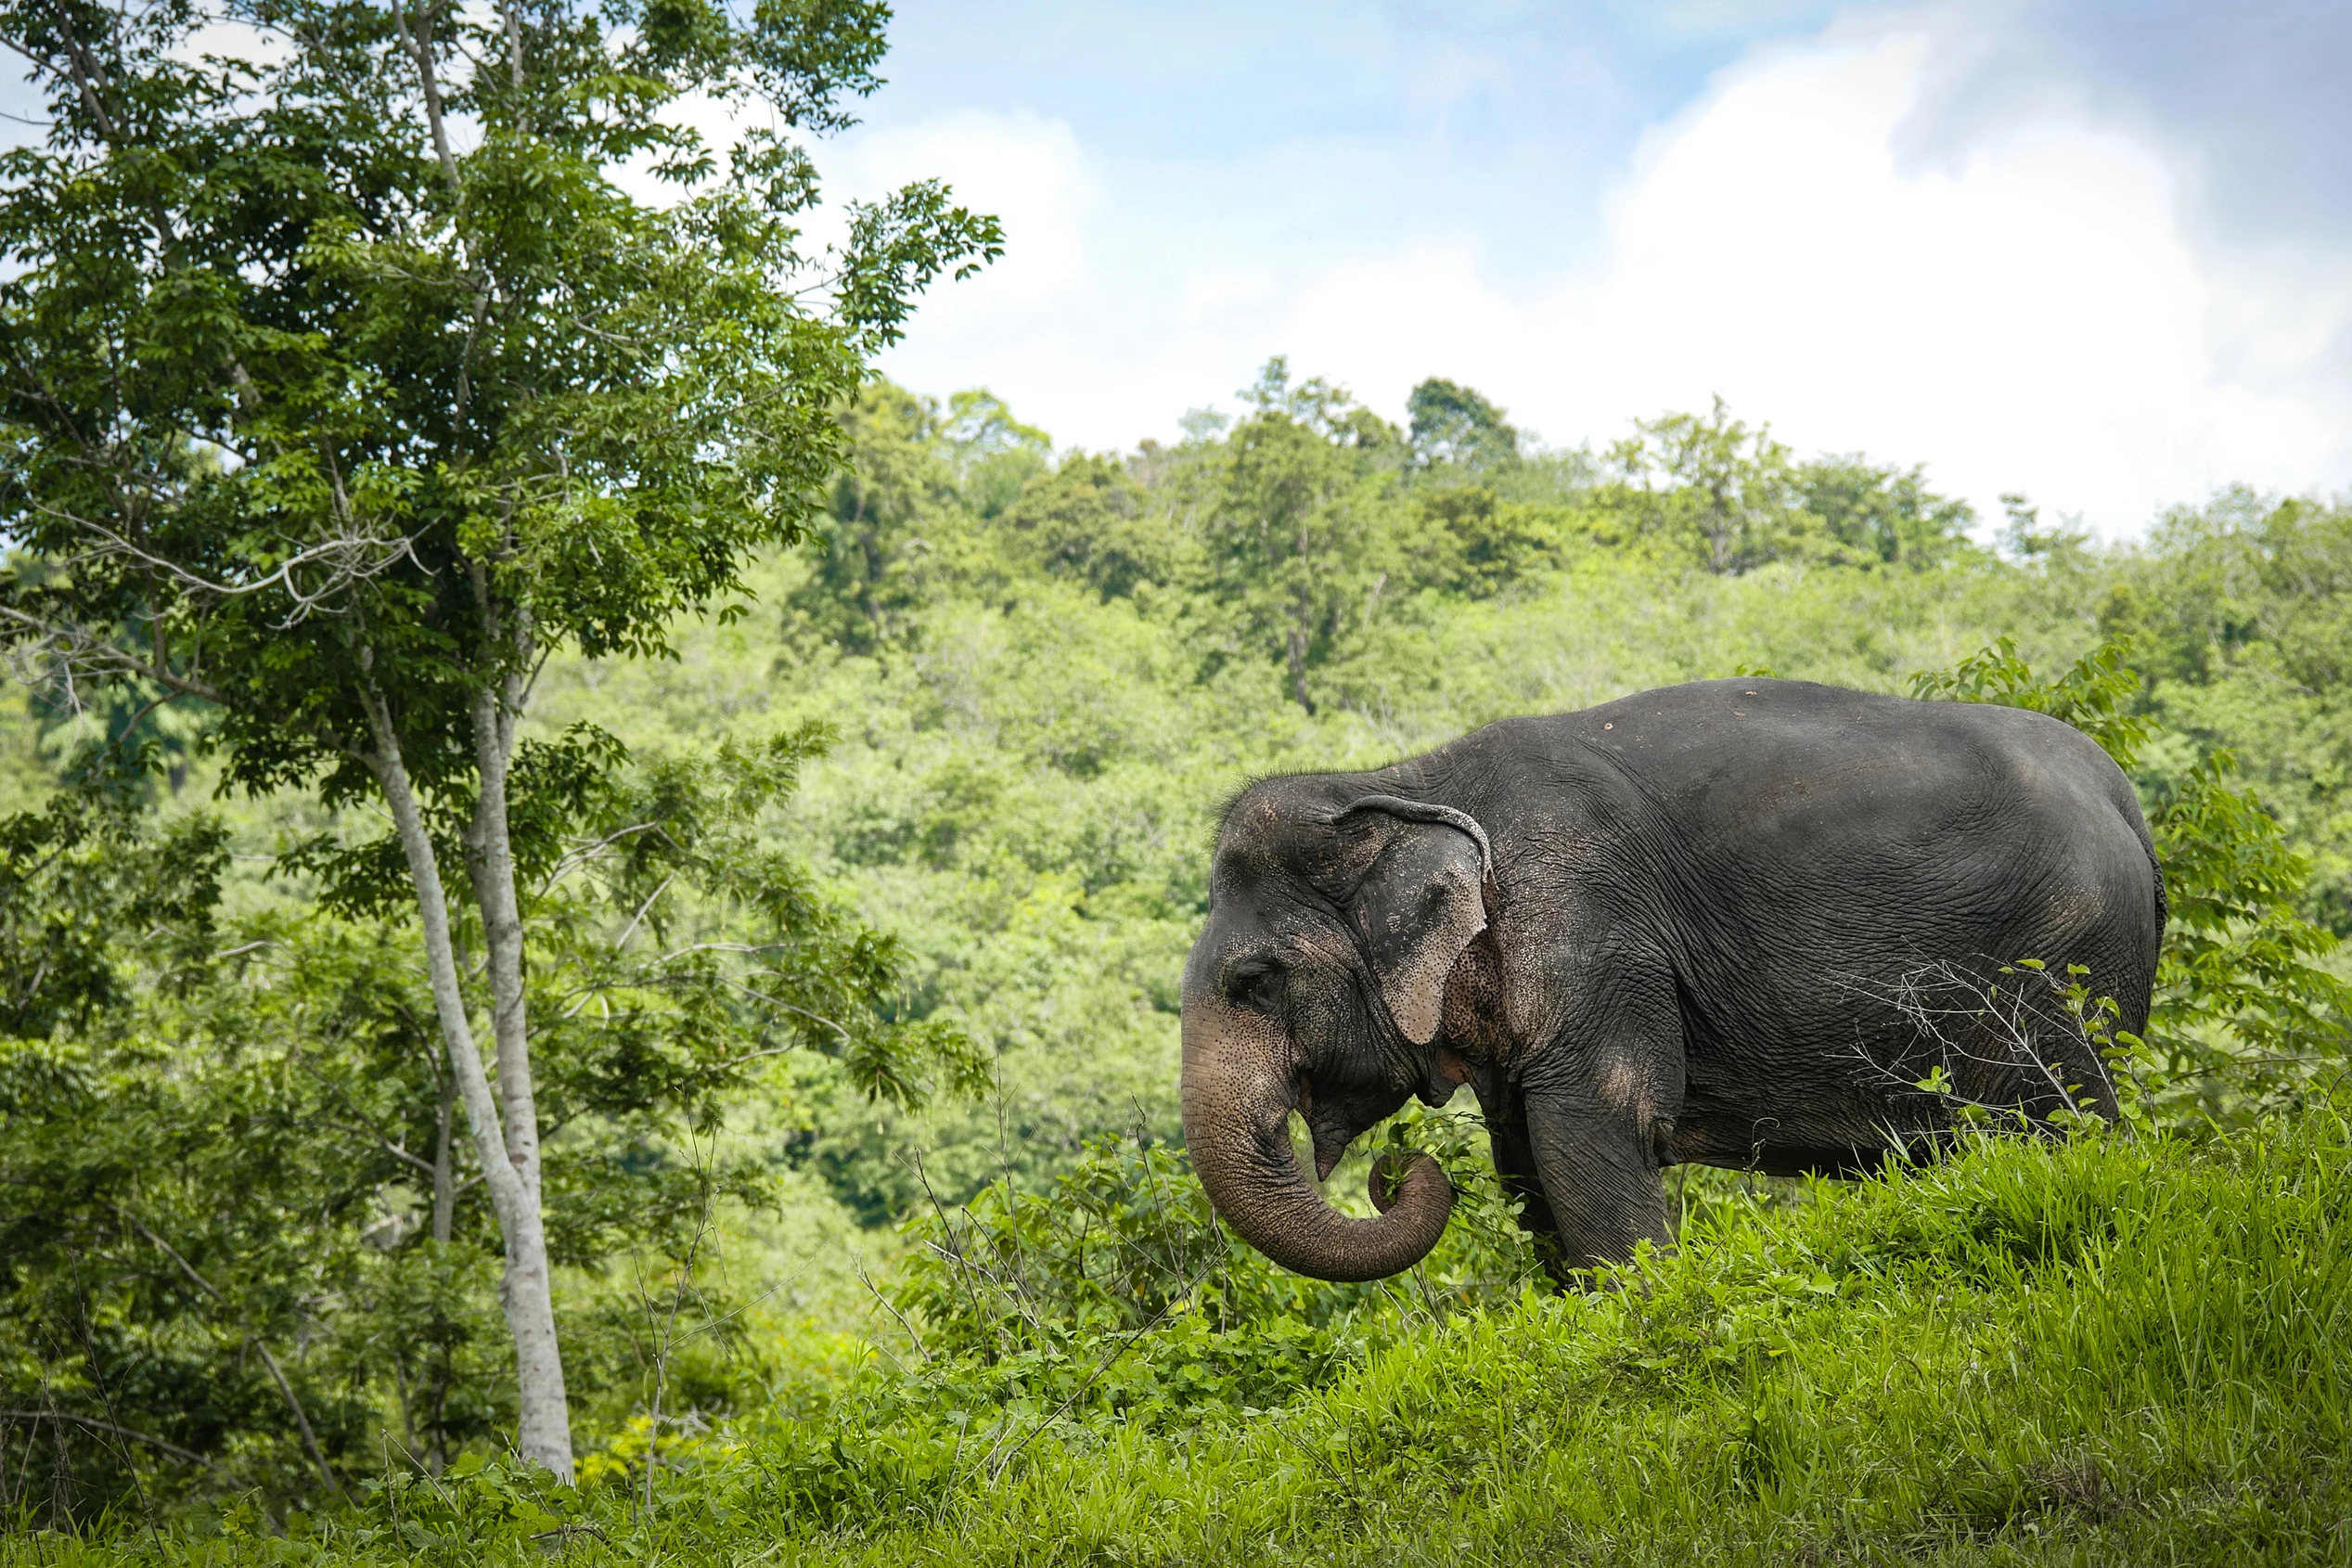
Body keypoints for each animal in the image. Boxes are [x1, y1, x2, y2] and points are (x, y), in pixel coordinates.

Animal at [1178, 677, 2165, 1282]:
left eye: (1255, 980)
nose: (1394, 1173)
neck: (1404, 780)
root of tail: (2124, 796)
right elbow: (1523, 1158)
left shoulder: (1592, 930)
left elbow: (1592, 1131)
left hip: (2060, 961)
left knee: (2059, 1120)